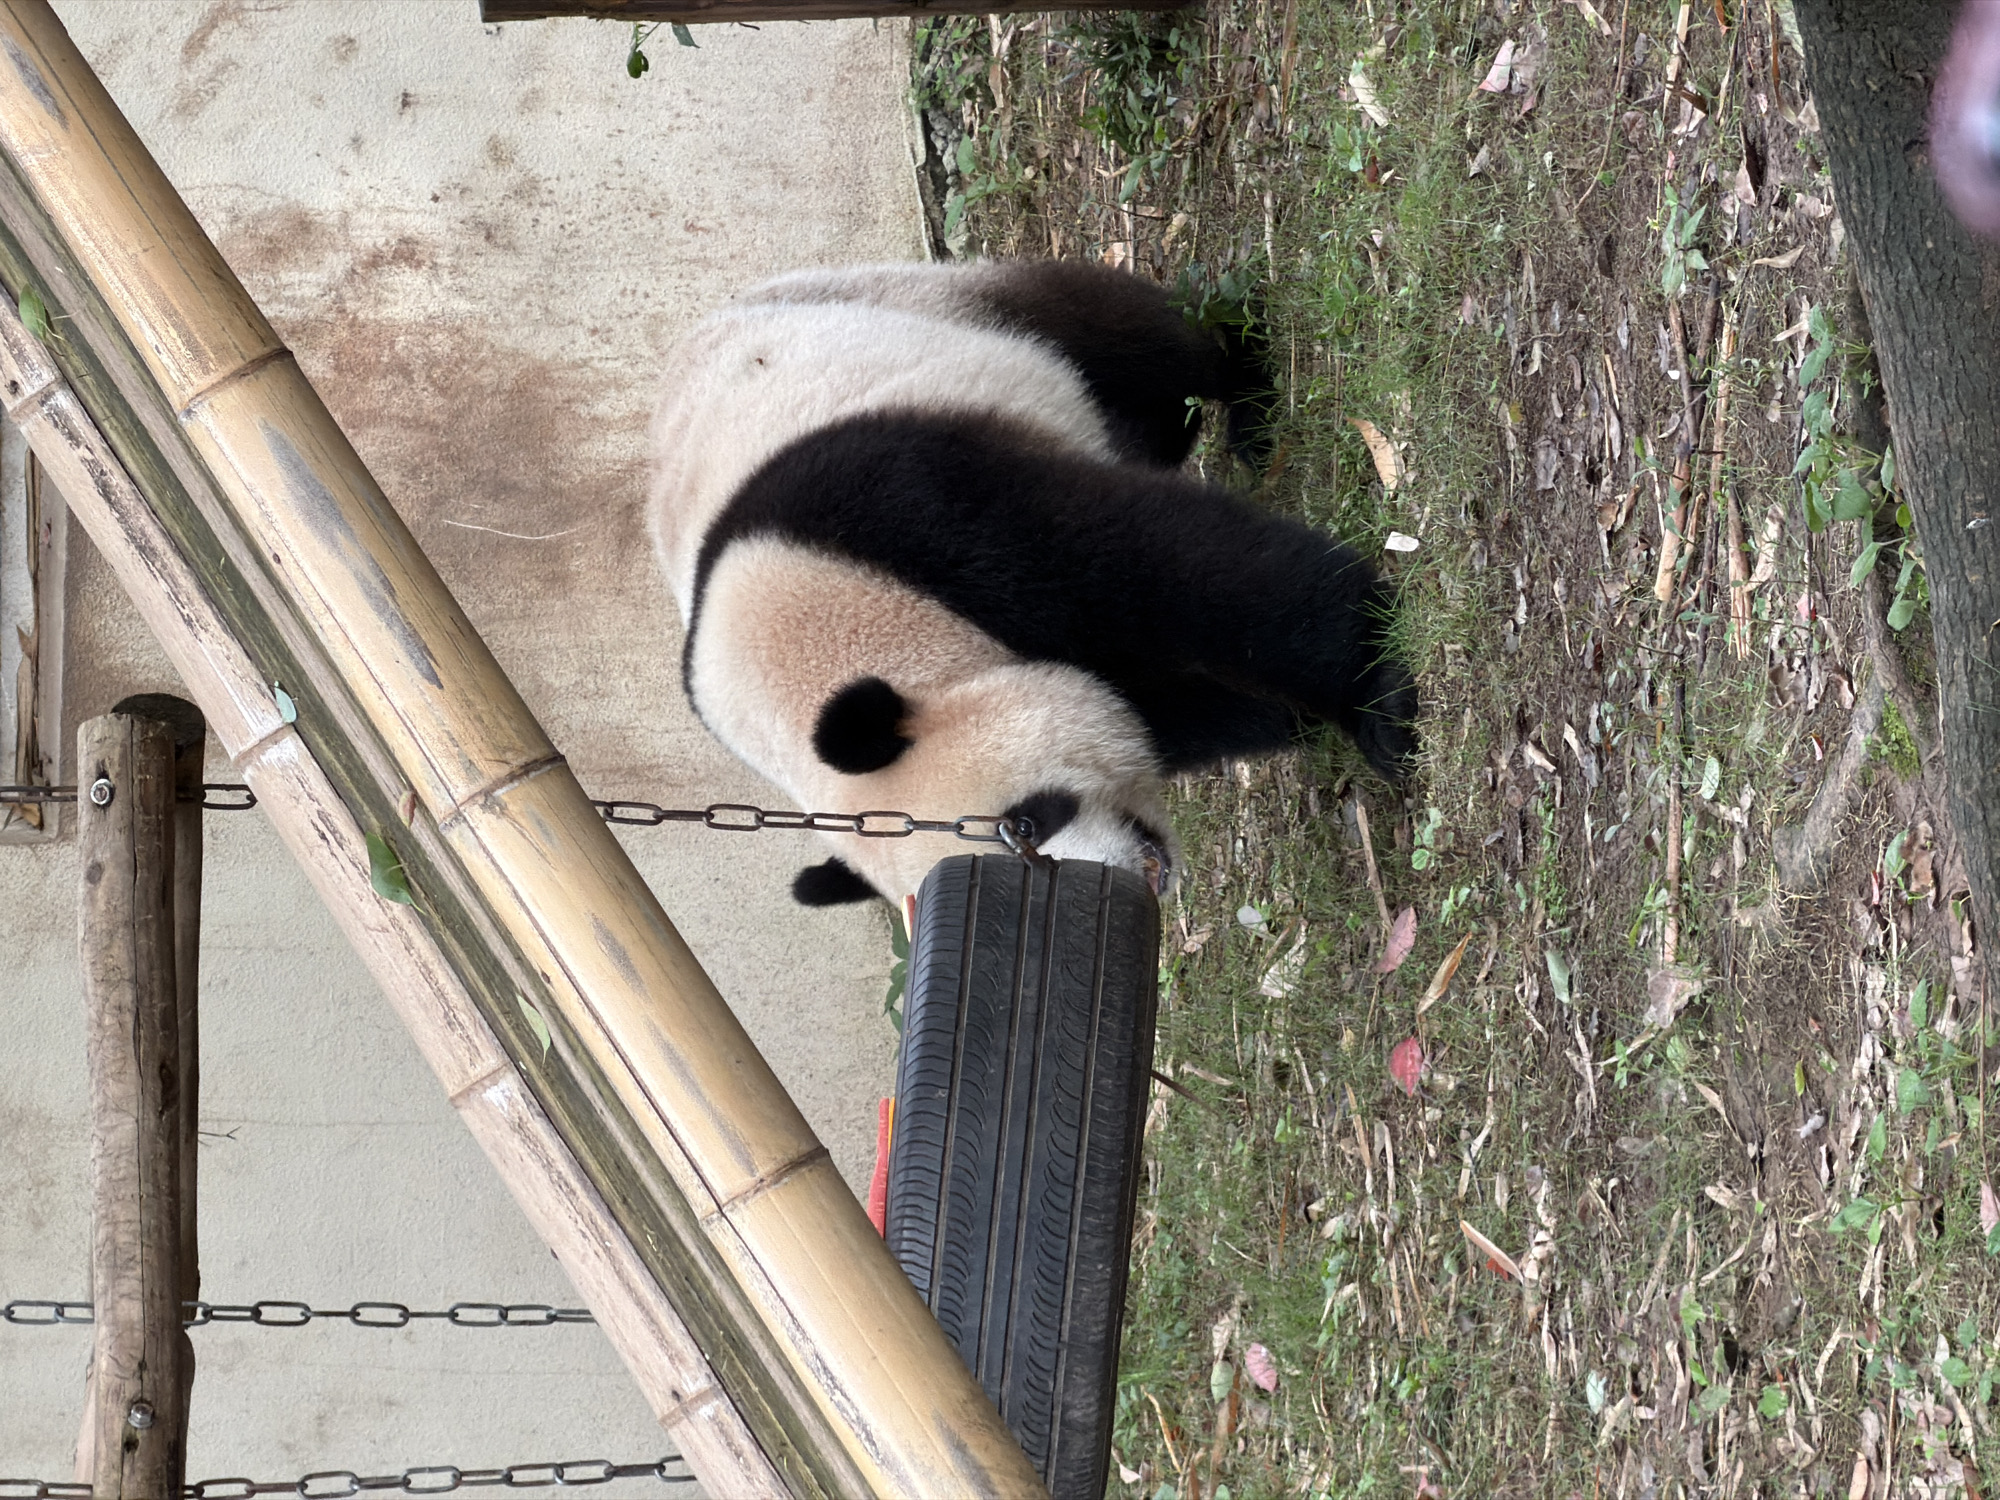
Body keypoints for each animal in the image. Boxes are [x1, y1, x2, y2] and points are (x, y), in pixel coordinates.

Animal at [648, 259, 1416, 911]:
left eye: (1021, 825)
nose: (1127, 880)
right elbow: (1150, 706)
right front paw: (1284, 719)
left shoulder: (897, 511)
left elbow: (1150, 573)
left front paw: (1378, 699)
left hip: (930, 311)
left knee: (1133, 340)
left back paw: (1243, 393)